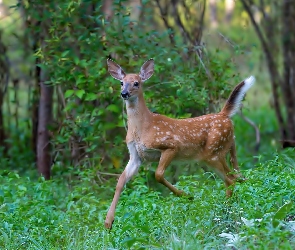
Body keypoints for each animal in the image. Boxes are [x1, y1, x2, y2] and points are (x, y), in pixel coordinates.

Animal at [104, 58, 254, 229]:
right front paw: (108, 222)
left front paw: (187, 196)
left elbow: (158, 175)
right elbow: (120, 181)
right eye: (121, 82)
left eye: (136, 83)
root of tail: (224, 115)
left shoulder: (171, 146)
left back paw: (226, 214)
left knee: (231, 180)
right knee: (236, 178)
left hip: (213, 152)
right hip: (220, 152)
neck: (143, 128)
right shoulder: (136, 156)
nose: (124, 94)